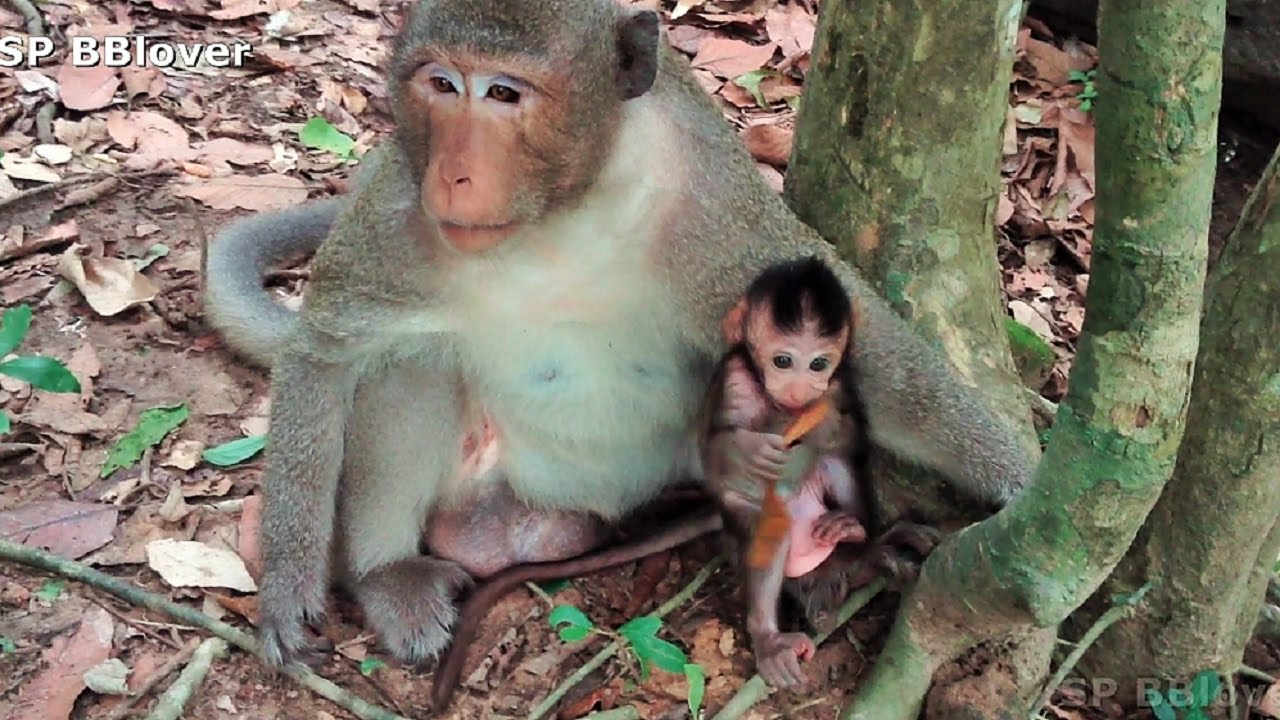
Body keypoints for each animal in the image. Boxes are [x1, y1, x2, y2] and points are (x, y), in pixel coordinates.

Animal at [202, 0, 1033, 675]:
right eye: (441, 83)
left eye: (503, 93)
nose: (454, 176)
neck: (563, 209)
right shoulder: (396, 205)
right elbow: (327, 351)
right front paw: (288, 588)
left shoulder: (709, 193)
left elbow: (844, 339)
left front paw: (1020, 481)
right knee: (409, 369)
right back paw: (387, 575)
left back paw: (825, 563)